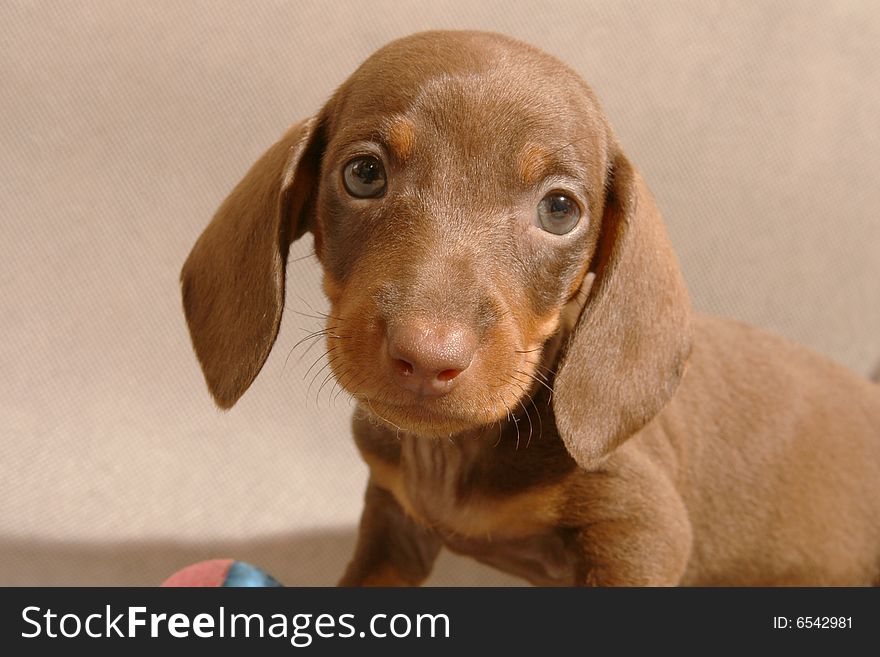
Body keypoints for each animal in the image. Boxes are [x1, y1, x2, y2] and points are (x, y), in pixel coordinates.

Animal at [180, 29, 880, 584]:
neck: (456, 451)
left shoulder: (641, 531)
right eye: (363, 174)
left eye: (560, 210)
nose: (427, 358)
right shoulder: (394, 524)